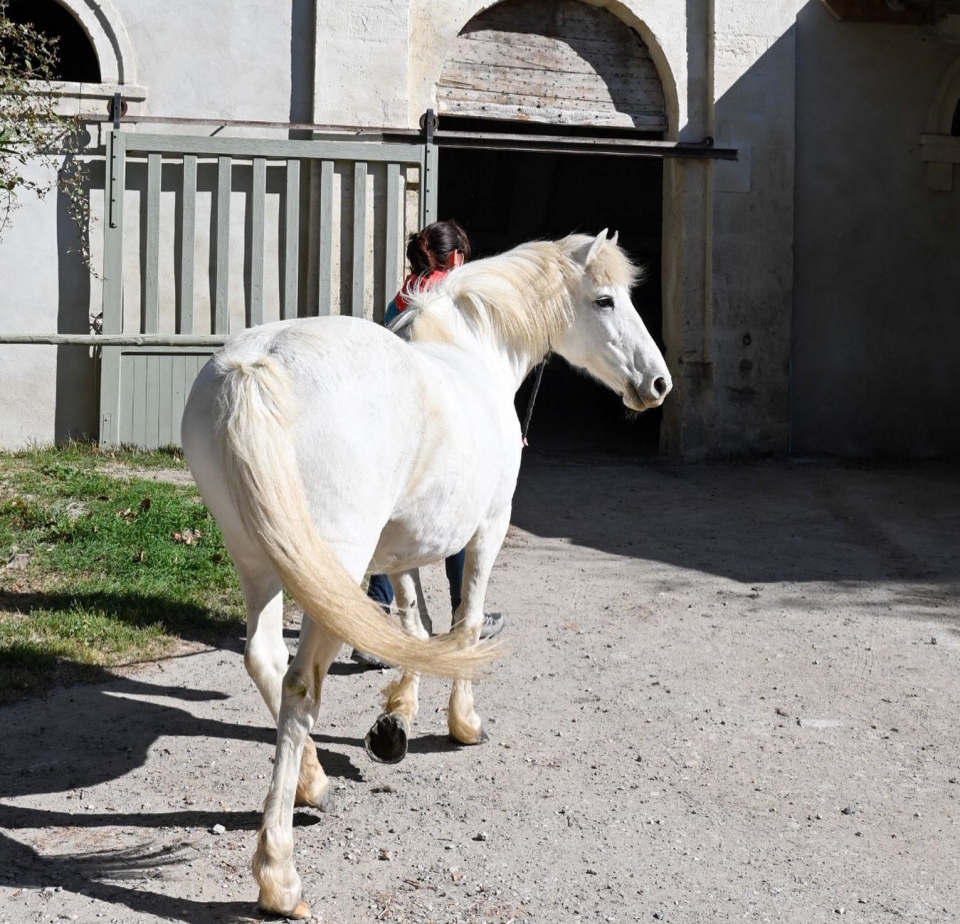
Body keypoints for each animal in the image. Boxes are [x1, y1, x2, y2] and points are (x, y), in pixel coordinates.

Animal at [180, 230, 672, 918]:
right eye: (605, 299)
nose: (658, 382)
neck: (469, 351)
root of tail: (257, 364)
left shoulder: (403, 547)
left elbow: (412, 628)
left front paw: (396, 719)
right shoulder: (487, 530)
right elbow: (462, 624)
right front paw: (462, 723)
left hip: (259, 562)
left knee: (265, 659)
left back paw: (314, 783)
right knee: (300, 686)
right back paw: (279, 877)